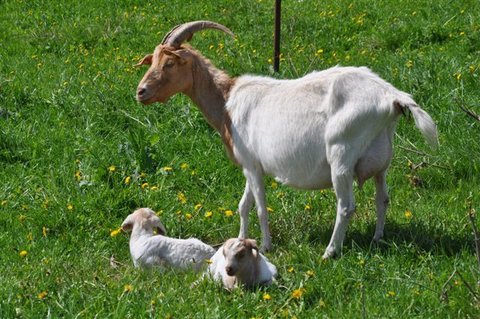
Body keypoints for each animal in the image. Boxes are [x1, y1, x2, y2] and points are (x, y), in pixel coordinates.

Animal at [135, 20, 438, 260]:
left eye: (170, 63)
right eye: (154, 61)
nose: (141, 92)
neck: (227, 101)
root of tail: (391, 96)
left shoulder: (252, 166)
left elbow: (259, 207)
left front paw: (265, 246)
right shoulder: (251, 166)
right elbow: (243, 206)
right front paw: (239, 241)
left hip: (341, 155)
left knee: (346, 206)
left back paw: (330, 251)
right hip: (382, 160)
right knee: (382, 198)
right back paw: (377, 239)